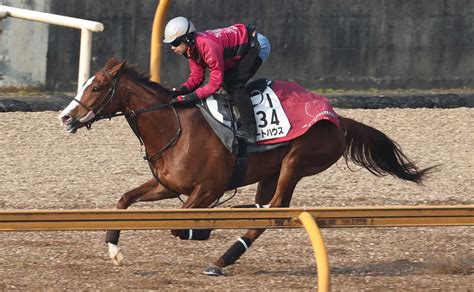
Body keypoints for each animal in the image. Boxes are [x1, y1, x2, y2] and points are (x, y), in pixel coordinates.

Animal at [57, 57, 432, 276]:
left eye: (97, 87)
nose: (66, 117)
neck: (174, 126)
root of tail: (337, 118)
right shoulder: (167, 185)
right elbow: (124, 200)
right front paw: (114, 251)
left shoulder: (207, 189)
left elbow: (178, 227)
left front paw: (203, 230)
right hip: (271, 172)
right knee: (268, 208)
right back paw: (231, 242)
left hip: (296, 161)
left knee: (276, 210)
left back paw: (224, 254)